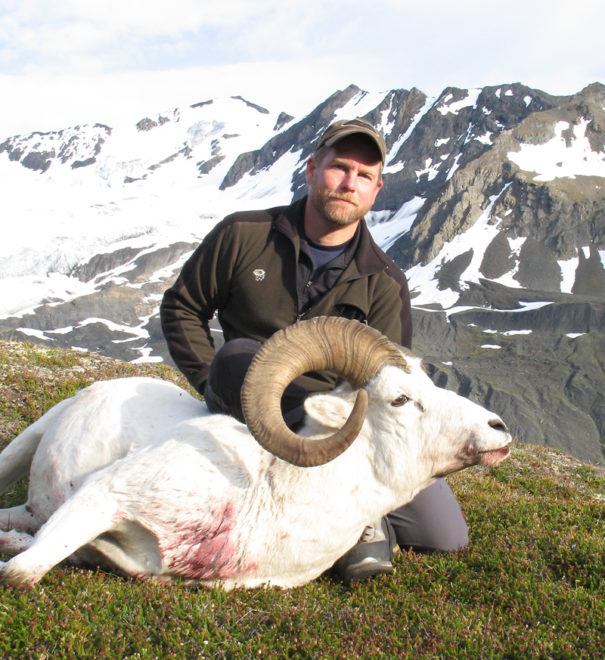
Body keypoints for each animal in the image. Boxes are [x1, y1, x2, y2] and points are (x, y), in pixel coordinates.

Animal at [0, 318, 510, 592]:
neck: (267, 495)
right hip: (26, 444)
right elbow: (20, 574)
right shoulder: (101, 498)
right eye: (400, 399)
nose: (498, 429)